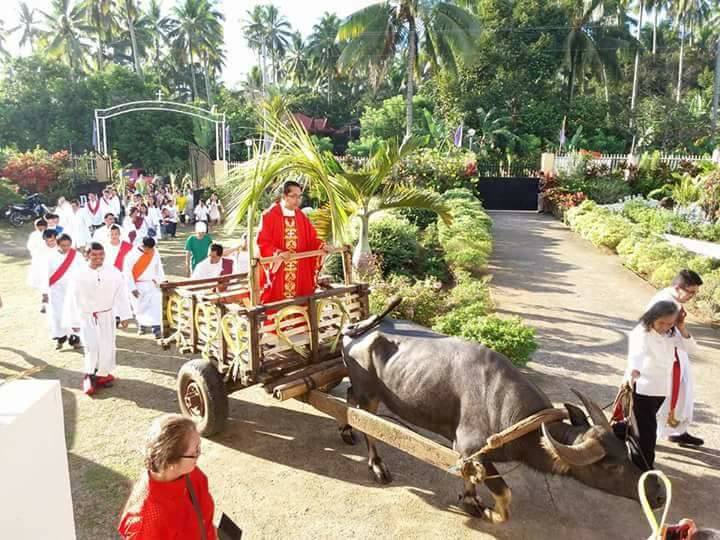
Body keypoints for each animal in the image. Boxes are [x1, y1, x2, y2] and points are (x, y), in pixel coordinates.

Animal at [340, 316, 668, 524]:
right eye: (609, 465)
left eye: (626, 451)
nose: (657, 493)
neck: (520, 423)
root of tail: (354, 330)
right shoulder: (472, 449)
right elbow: (505, 495)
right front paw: (485, 511)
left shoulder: (466, 454)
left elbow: (468, 476)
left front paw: (470, 499)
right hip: (370, 395)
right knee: (366, 423)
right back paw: (377, 465)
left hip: (363, 391)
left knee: (348, 397)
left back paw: (345, 430)